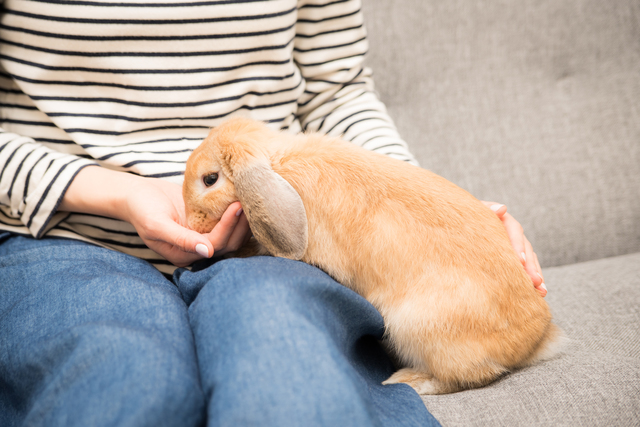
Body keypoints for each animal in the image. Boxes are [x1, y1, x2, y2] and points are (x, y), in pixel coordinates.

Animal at [181, 116, 560, 394]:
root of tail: (538, 339)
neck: (277, 161)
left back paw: (406, 381)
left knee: (472, 376)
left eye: (210, 179)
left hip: (416, 327)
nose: (190, 222)